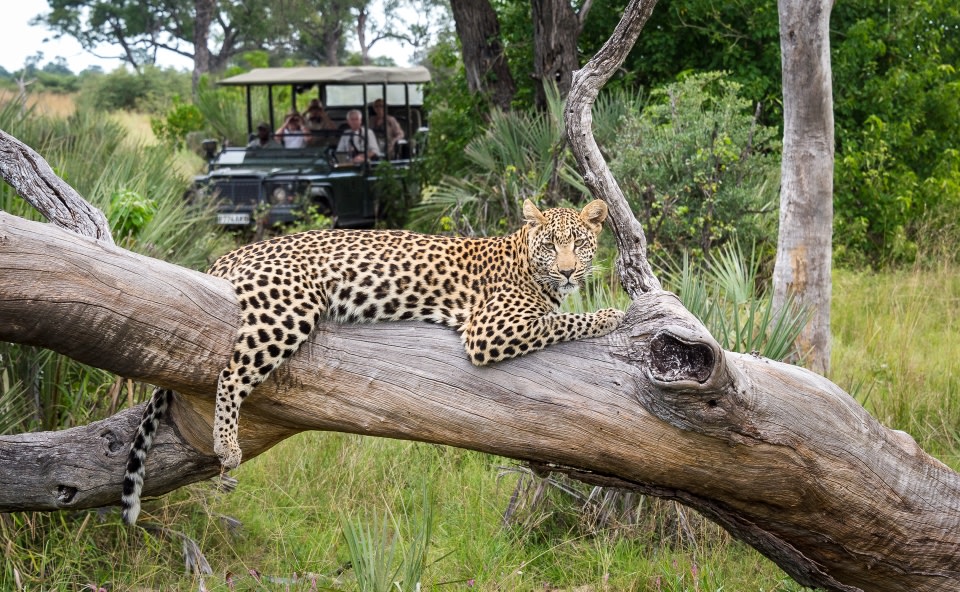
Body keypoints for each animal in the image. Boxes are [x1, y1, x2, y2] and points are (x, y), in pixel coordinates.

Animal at [118, 199, 624, 524]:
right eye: (551, 244)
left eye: (579, 243)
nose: (567, 271)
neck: (527, 260)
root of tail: (235, 251)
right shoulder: (490, 330)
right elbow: (563, 320)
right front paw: (612, 314)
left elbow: (560, 316)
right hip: (289, 307)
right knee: (230, 371)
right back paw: (227, 447)